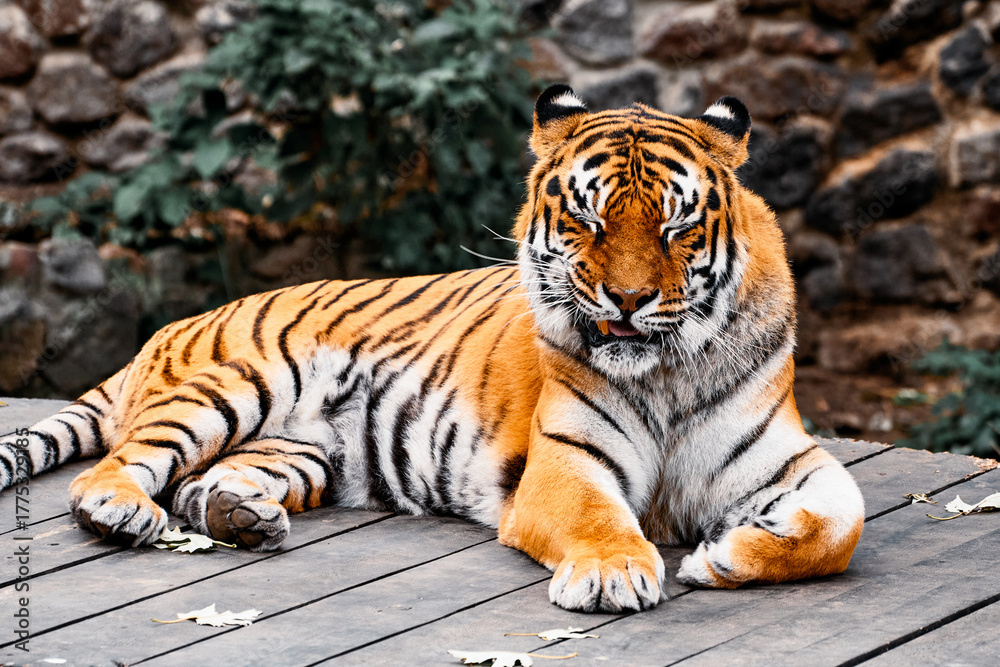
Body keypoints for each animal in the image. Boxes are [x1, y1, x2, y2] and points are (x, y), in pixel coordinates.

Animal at [0, 85, 864, 612]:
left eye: (675, 226)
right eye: (588, 218)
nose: (627, 299)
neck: (669, 373)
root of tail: (165, 329)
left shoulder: (784, 456)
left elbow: (842, 519)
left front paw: (724, 555)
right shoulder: (567, 463)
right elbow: (599, 517)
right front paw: (614, 571)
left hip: (302, 451)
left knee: (203, 481)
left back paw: (239, 514)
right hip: (234, 382)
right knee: (114, 470)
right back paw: (124, 509)